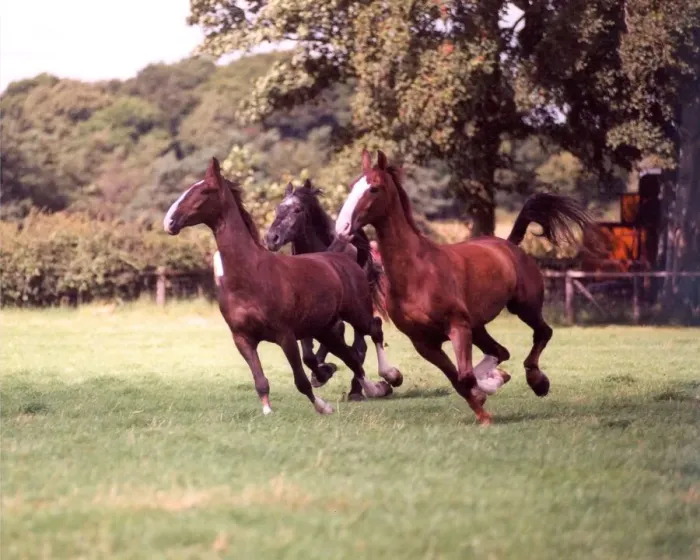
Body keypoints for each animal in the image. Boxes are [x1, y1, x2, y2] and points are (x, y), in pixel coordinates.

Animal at [265, 179, 389, 391]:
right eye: (277, 208)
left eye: (297, 209)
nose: (271, 238)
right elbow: (308, 354)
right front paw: (322, 372)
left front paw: (324, 371)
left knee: (360, 343)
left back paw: (357, 388)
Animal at [335, 149, 598, 425]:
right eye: (352, 186)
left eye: (373, 188)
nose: (341, 228)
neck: (417, 274)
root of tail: (508, 245)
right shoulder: (424, 343)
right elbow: (459, 380)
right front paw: (484, 410)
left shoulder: (458, 327)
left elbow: (464, 376)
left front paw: (487, 393)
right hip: (479, 326)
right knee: (500, 351)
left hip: (524, 307)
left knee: (542, 333)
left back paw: (537, 382)